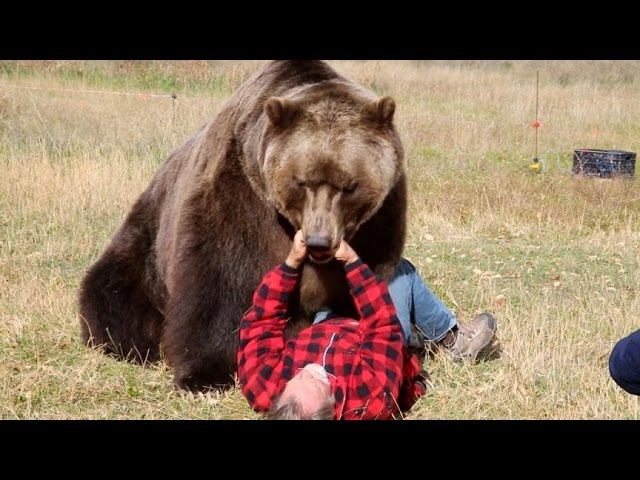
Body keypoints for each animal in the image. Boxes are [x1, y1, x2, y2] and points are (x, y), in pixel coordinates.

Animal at [79, 59, 404, 390]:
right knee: (113, 292)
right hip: (147, 245)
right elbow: (218, 281)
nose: (319, 242)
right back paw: (131, 344)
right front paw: (204, 373)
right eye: (302, 181)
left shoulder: (378, 225)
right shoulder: (238, 198)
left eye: (349, 186)